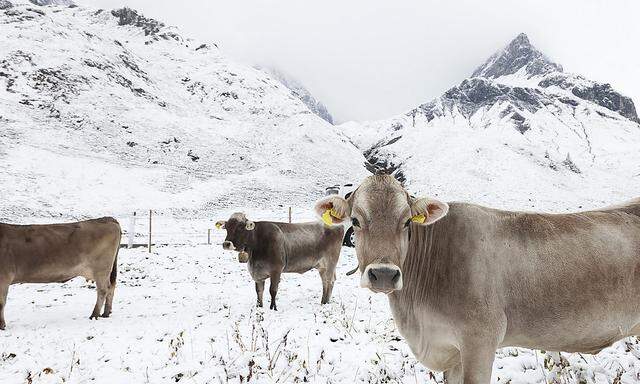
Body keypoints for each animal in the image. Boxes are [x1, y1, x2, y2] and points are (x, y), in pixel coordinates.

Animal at [216, 212, 344, 310]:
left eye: (240, 227)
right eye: (227, 227)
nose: (226, 244)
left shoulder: (276, 270)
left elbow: (273, 290)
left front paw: (273, 308)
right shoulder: (258, 274)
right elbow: (259, 291)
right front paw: (259, 307)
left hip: (330, 263)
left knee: (328, 281)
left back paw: (325, 303)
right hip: (322, 266)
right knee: (327, 282)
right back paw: (324, 302)